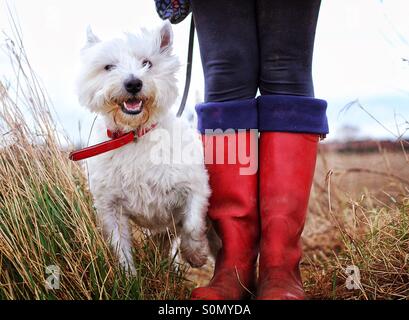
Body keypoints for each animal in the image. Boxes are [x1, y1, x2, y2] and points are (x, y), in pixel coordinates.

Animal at [76, 21, 210, 272]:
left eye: (147, 63)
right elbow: (120, 247)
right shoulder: (111, 207)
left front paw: (195, 254)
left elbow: (192, 224)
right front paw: (128, 276)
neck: (134, 135)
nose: (133, 83)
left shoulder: (194, 186)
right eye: (109, 67)